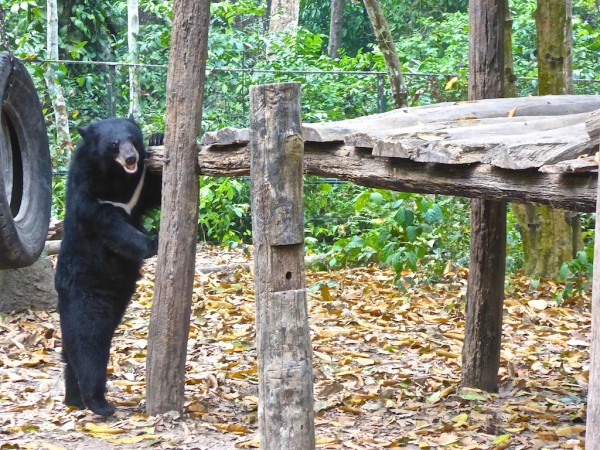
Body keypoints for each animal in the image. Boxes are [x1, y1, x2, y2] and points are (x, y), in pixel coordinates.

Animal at [54, 116, 161, 414]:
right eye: (113, 144)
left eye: (132, 137)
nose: (131, 158)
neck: (115, 177)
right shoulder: (90, 196)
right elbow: (113, 226)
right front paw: (154, 242)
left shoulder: (136, 193)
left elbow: (154, 190)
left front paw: (158, 137)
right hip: (87, 296)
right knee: (88, 345)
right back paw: (99, 403)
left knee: (70, 353)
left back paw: (74, 399)